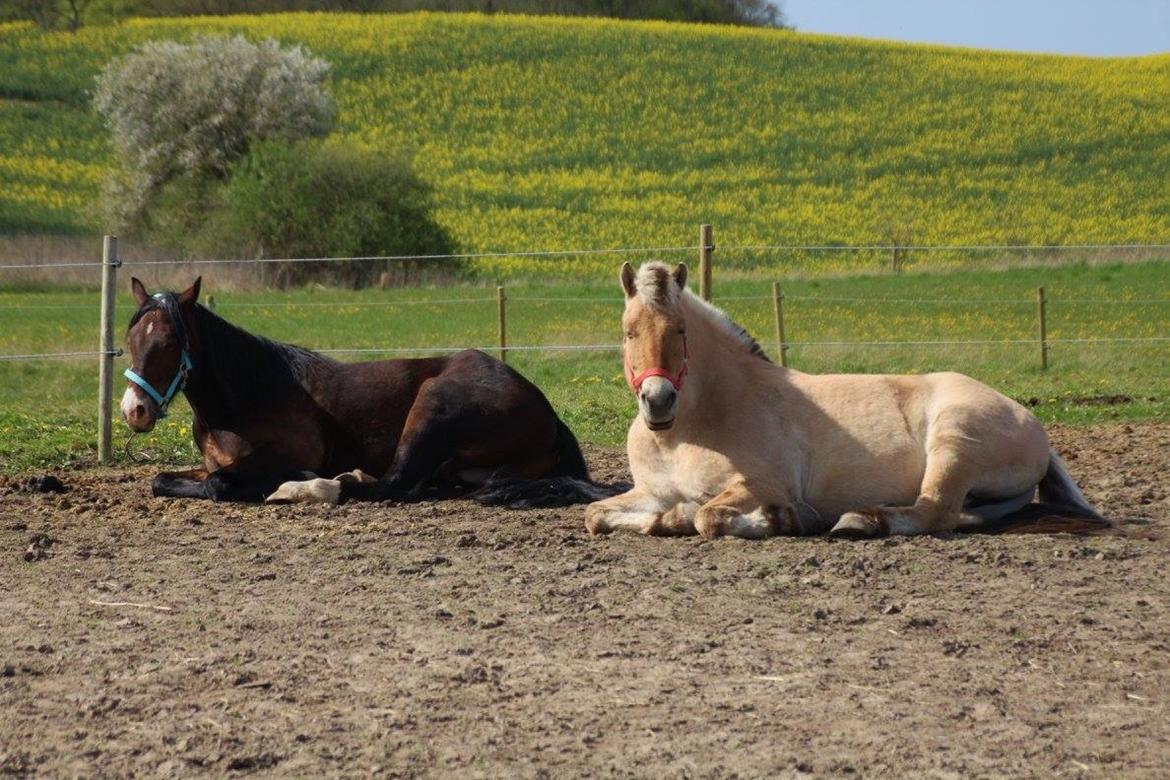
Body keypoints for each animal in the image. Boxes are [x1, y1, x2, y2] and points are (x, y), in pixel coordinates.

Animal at [122, 277, 617, 509]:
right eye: (130, 339)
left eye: (170, 342)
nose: (134, 410)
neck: (244, 397)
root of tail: (547, 411)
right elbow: (161, 479)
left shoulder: (280, 456)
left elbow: (220, 484)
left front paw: (296, 480)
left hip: (432, 407)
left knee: (393, 483)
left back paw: (324, 484)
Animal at [585, 260, 1113, 537]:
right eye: (629, 332)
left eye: (679, 330)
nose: (658, 401)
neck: (689, 429)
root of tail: (1027, 419)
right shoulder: (651, 491)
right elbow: (596, 516)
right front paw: (667, 518)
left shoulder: (763, 483)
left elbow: (710, 516)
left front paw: (780, 518)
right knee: (958, 515)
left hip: (955, 443)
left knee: (933, 510)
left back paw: (860, 520)